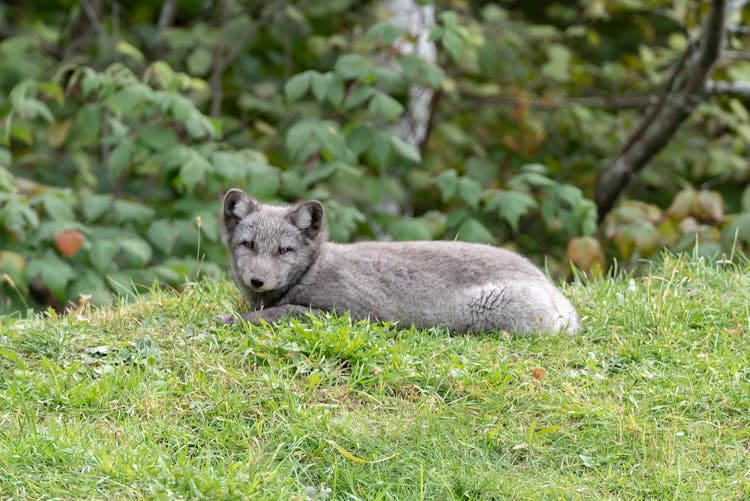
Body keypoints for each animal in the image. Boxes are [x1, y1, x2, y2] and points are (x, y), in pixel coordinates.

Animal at [217, 189, 580, 334]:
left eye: (284, 251)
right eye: (248, 245)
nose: (257, 281)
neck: (311, 269)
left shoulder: (346, 314)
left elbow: (280, 313)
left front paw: (229, 319)